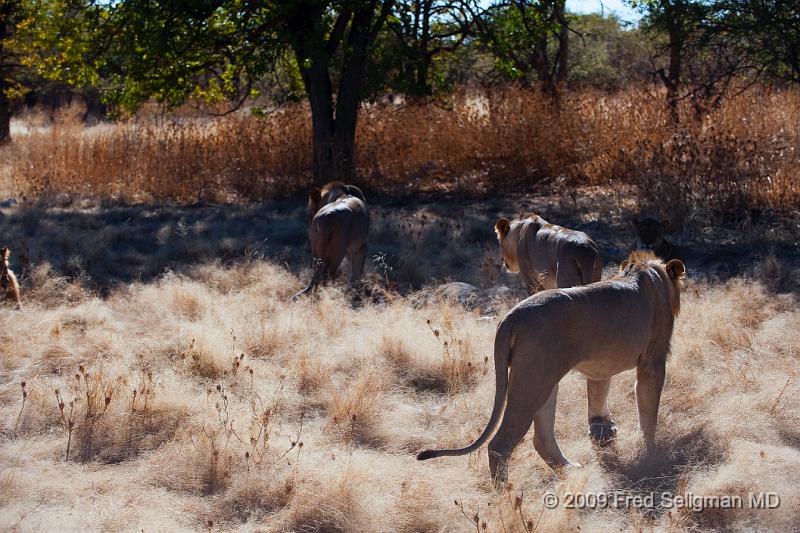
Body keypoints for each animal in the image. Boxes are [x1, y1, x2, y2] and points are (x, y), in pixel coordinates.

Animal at [416, 251, 684, 484]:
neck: (651, 275)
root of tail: (510, 317)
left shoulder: (601, 365)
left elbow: (599, 393)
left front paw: (605, 432)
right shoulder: (653, 362)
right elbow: (648, 412)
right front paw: (652, 453)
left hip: (544, 380)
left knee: (541, 439)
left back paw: (570, 470)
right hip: (532, 382)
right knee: (499, 444)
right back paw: (506, 495)